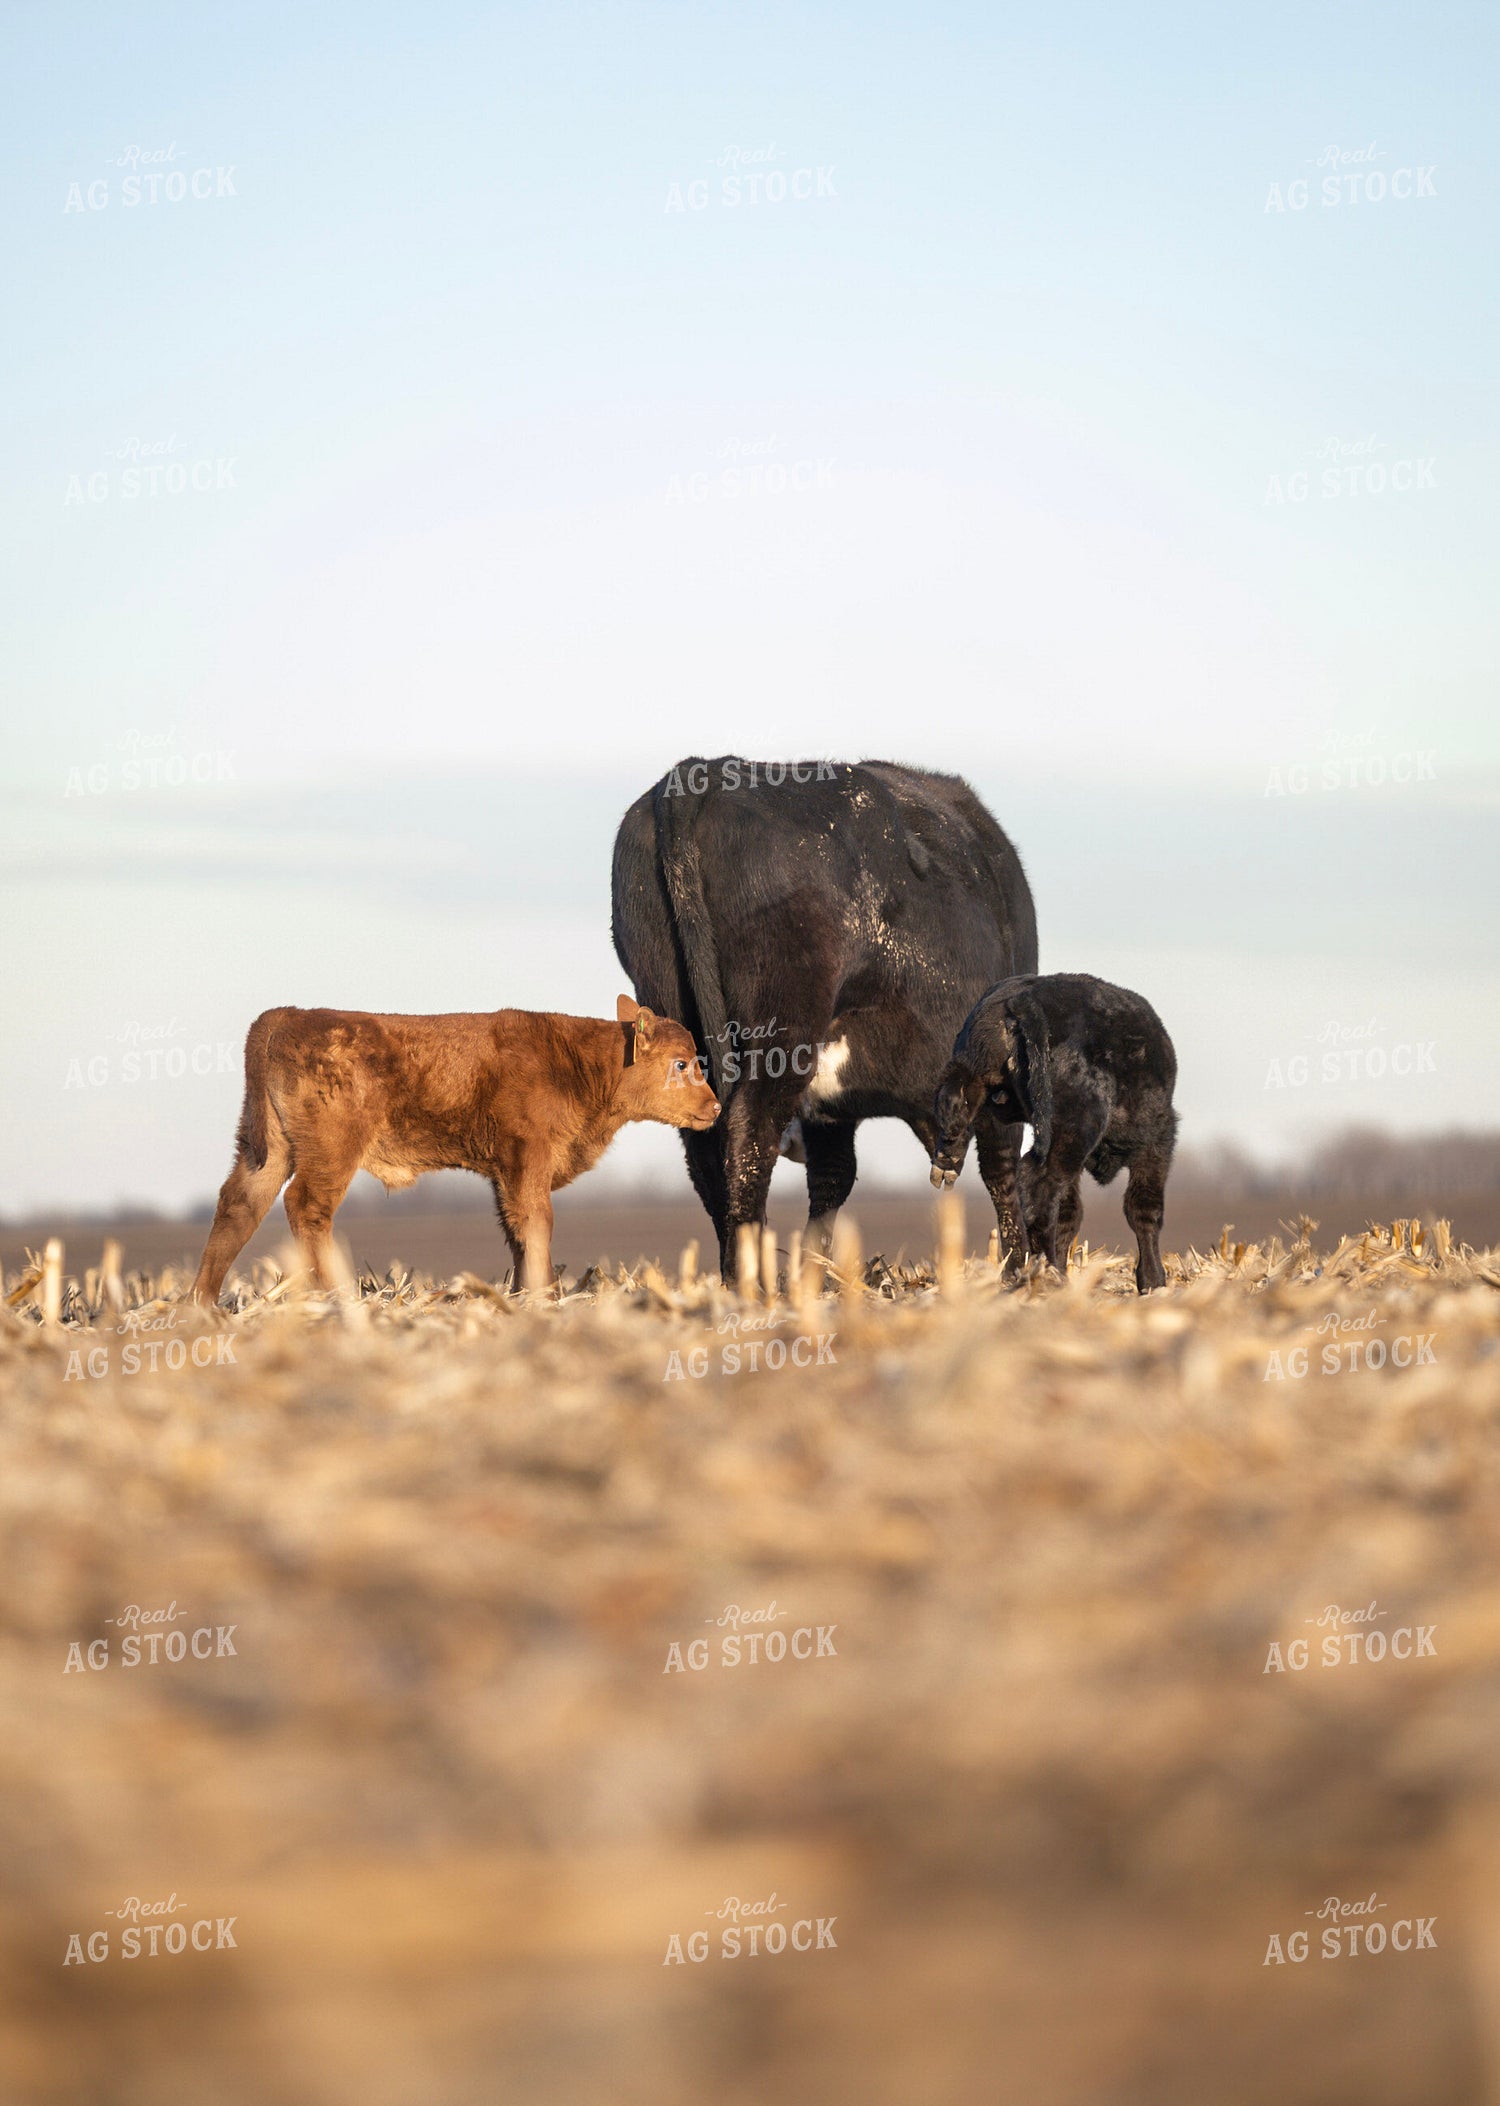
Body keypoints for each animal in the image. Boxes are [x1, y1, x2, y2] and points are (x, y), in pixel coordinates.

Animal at [191, 995, 719, 1304]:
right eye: (681, 1063)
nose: (714, 1106)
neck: (577, 1063)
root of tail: (286, 1016)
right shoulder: (529, 1156)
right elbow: (538, 1222)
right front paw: (544, 1295)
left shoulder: (506, 1171)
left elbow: (516, 1230)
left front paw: (524, 1293)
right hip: (331, 1153)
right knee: (306, 1206)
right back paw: (343, 1297)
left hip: (266, 1151)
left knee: (239, 1204)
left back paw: (202, 1303)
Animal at [610, 756, 1038, 1278]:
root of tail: (703, 772)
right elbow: (1002, 1166)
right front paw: (1019, 1269)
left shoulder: (830, 1112)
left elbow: (833, 1176)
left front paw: (817, 1273)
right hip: (783, 1028)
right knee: (749, 1133)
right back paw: (750, 1277)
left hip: (673, 1008)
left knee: (705, 1150)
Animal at [931, 973, 1179, 1292]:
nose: (1000, 1100)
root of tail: (1021, 998)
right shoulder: (1157, 1140)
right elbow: (1144, 1209)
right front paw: (1153, 1280)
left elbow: (1068, 1213)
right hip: (1074, 1130)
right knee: (1038, 1184)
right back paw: (1048, 1273)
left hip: (977, 1080)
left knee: (956, 1104)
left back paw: (947, 1160)